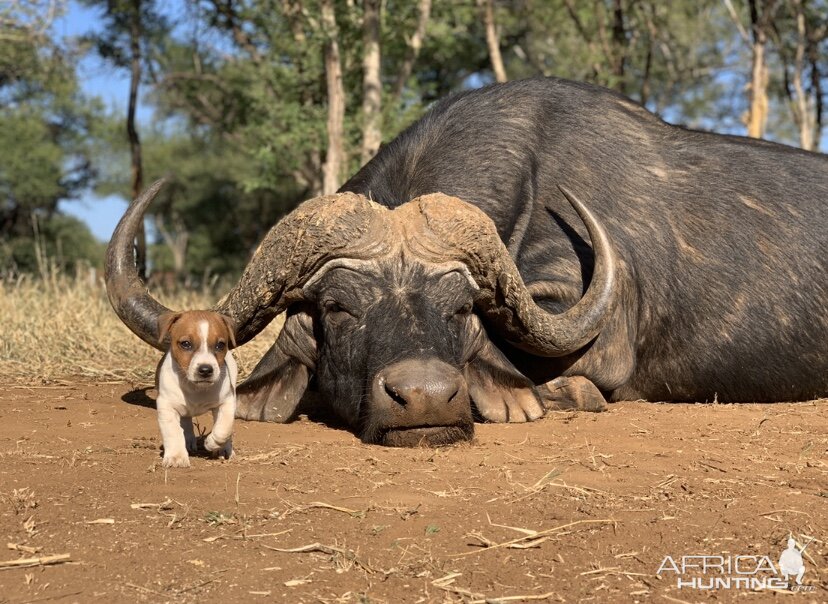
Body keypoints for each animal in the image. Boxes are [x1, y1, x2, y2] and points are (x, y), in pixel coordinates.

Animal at [157, 310, 238, 470]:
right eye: (186, 344)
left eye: (220, 345)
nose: (206, 370)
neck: (196, 388)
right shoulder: (166, 406)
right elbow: (173, 431)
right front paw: (176, 456)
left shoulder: (227, 402)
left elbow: (224, 427)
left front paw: (212, 442)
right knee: (186, 423)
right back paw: (188, 441)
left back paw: (226, 449)